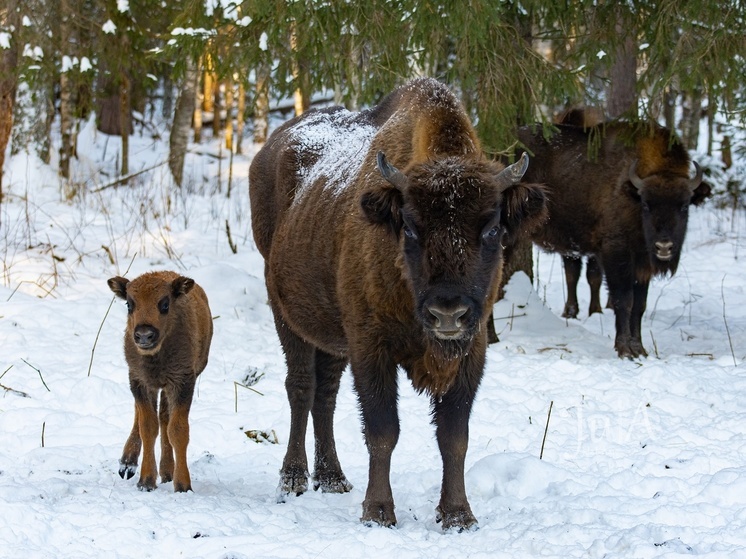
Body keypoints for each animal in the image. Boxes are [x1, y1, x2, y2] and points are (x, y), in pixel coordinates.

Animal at [104, 274, 211, 492]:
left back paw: (167, 471)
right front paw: (145, 481)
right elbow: (147, 427)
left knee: (164, 417)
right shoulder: (140, 381)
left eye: (165, 304)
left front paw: (183, 485)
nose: (144, 335)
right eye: (129, 304)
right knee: (146, 415)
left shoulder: (182, 382)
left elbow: (177, 430)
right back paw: (127, 464)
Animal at [250, 77, 548, 528]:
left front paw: (458, 515)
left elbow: (454, 435)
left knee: (326, 392)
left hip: (332, 332)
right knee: (301, 387)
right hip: (285, 313)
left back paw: (333, 478)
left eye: (493, 228)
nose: (448, 313)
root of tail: (268, 149)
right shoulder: (371, 347)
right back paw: (294, 479)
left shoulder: (471, 353)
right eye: (408, 226)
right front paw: (377, 512)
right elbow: (382, 430)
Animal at [516, 120, 708, 360]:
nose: (664, 247)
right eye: (646, 205)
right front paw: (625, 350)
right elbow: (624, 300)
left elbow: (640, 305)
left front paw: (640, 349)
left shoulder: (642, 267)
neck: (631, 194)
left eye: (684, 206)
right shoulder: (616, 255)